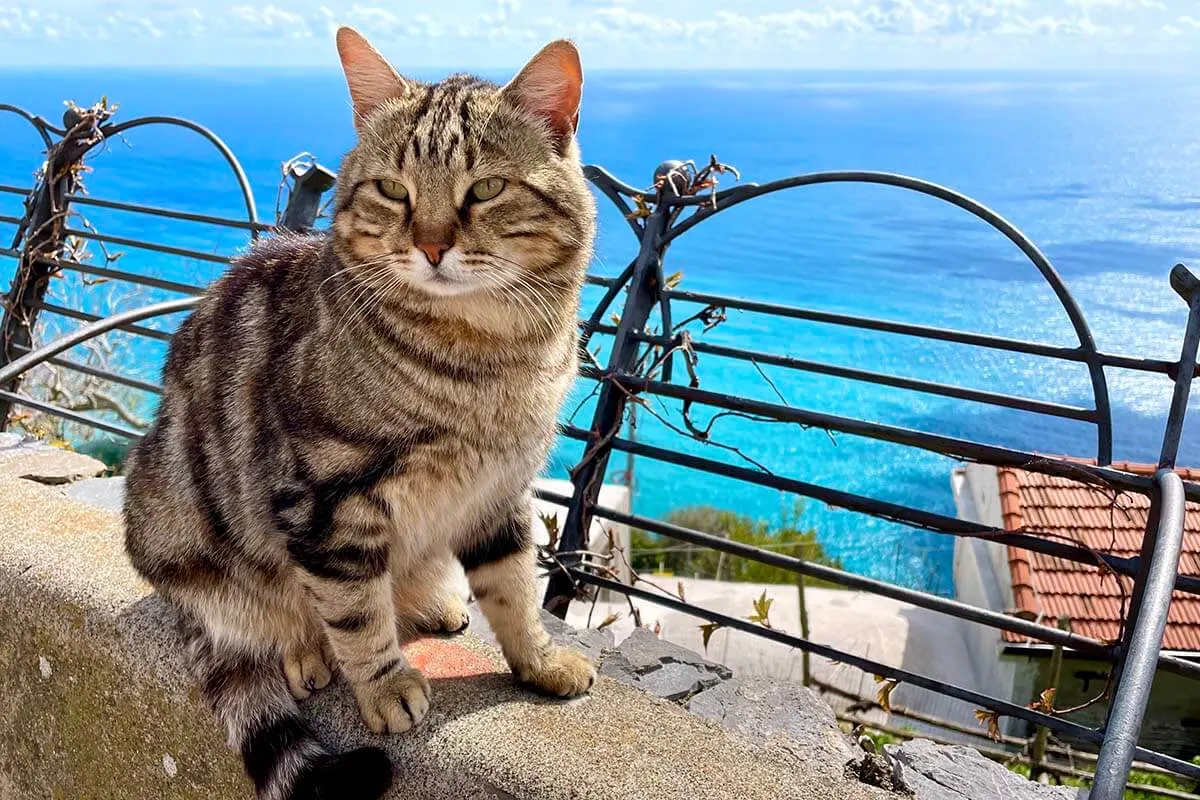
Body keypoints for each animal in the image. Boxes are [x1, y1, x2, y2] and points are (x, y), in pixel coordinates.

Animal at [121, 26, 600, 800]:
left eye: (486, 189)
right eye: (392, 190)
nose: (431, 246)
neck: (489, 354)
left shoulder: (501, 486)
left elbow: (514, 586)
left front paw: (539, 661)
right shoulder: (327, 497)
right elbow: (354, 609)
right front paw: (383, 685)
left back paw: (432, 599)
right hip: (179, 523)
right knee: (252, 615)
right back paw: (301, 648)